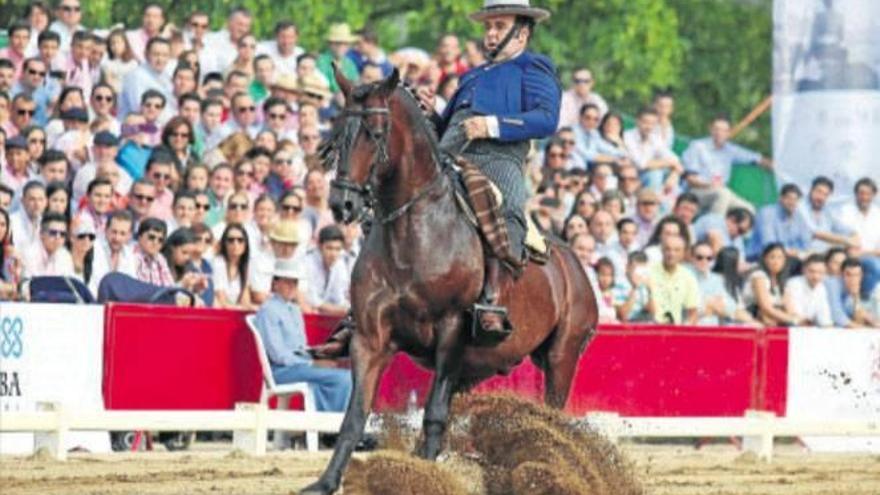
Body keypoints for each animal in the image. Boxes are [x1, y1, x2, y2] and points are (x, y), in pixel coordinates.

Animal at [300, 70, 600, 495]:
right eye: (338, 132)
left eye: (375, 132)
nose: (343, 204)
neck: (414, 235)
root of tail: (576, 267)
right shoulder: (370, 339)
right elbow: (355, 416)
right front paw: (326, 482)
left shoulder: (452, 331)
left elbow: (434, 413)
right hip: (479, 365)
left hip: (562, 356)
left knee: (552, 421)